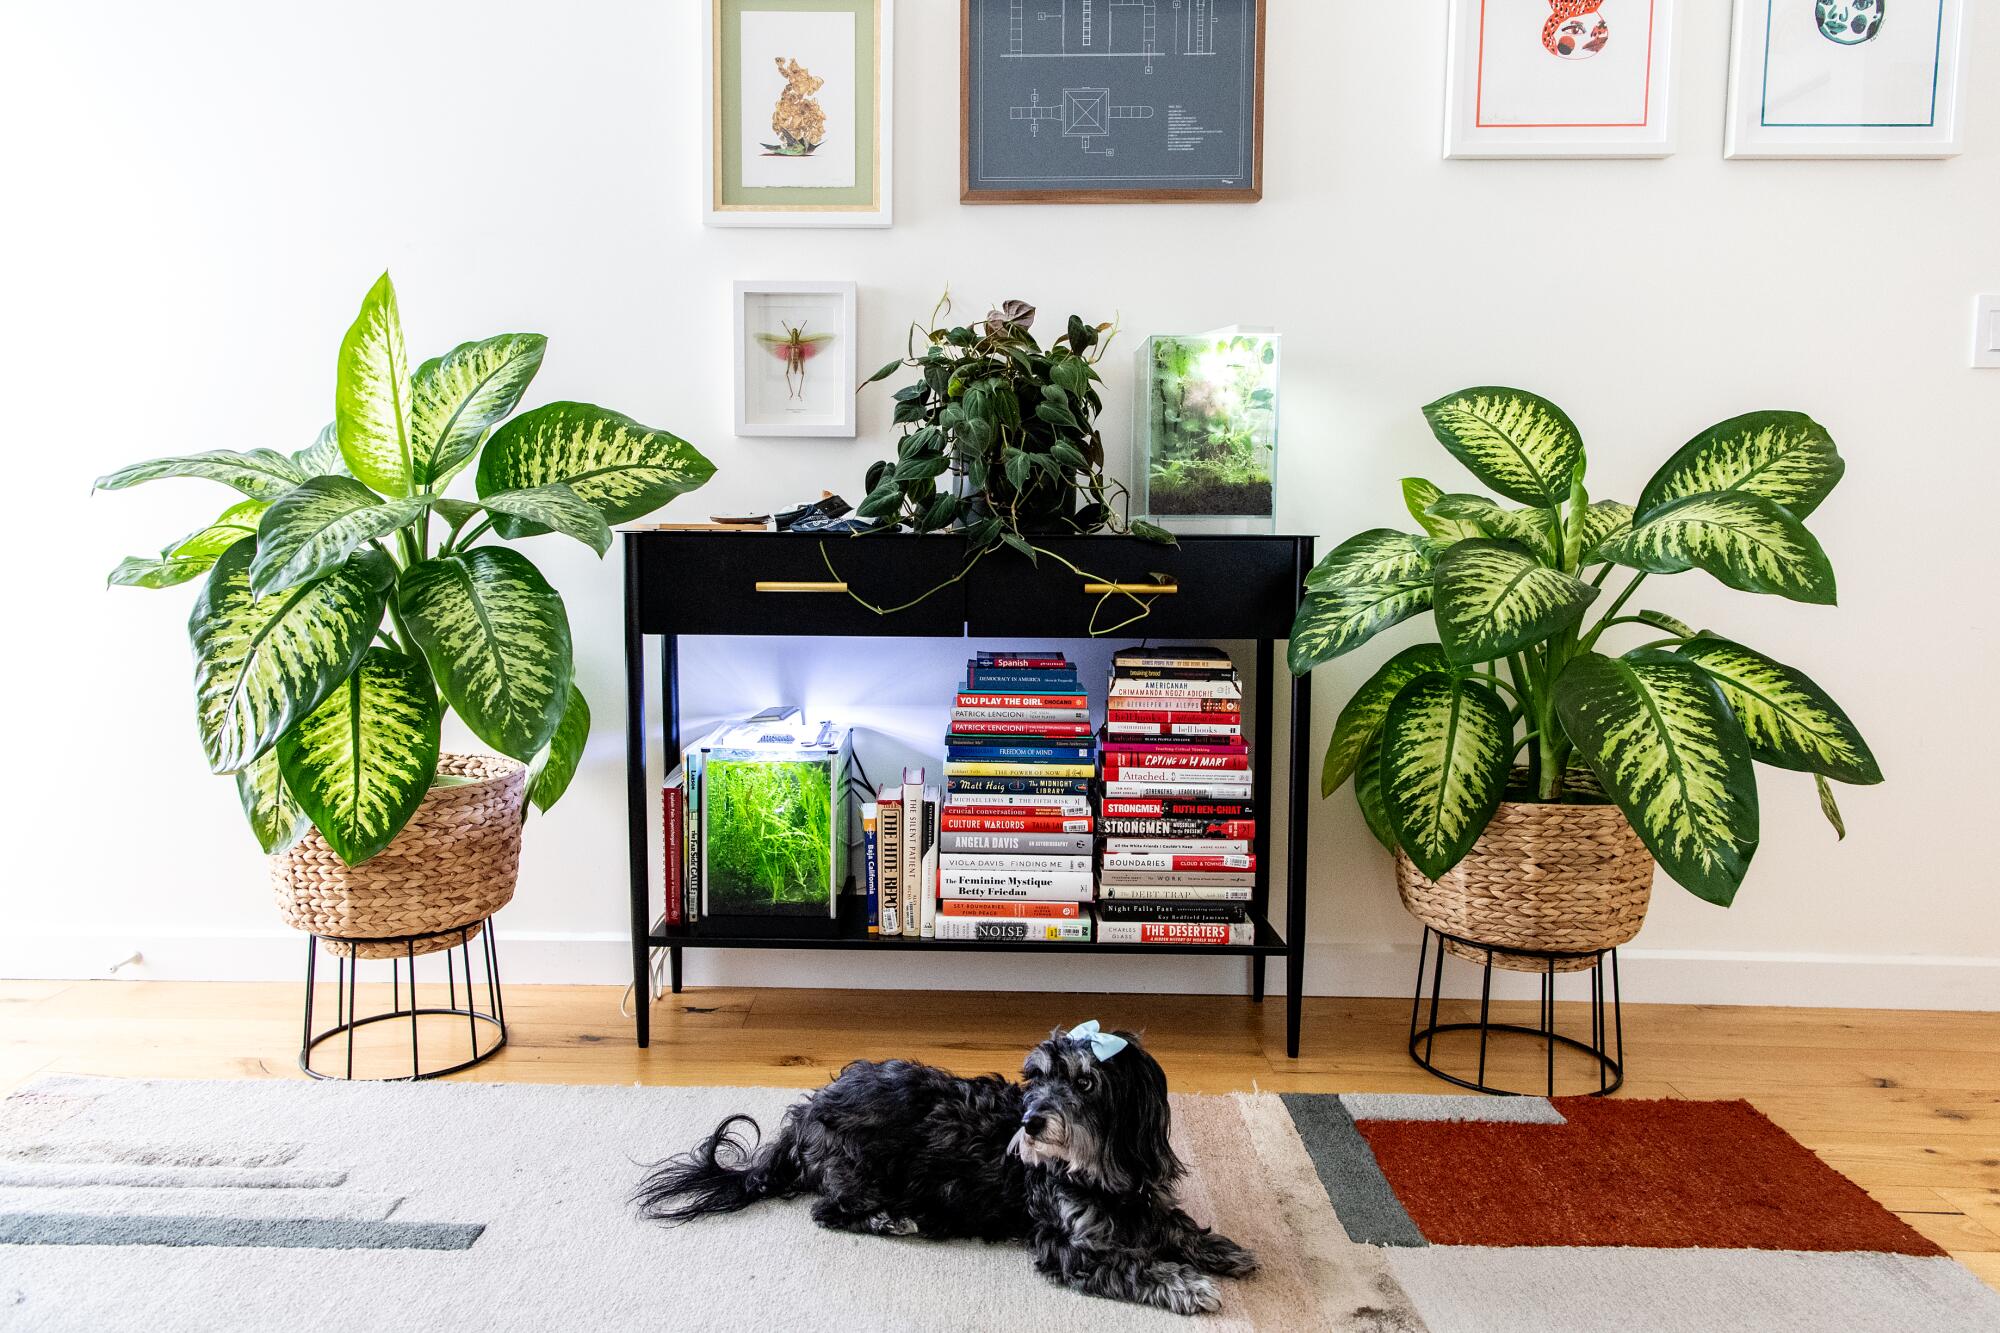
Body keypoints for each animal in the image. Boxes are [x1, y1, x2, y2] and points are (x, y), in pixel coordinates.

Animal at [632, 1016, 1256, 1304]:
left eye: (1084, 1081)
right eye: (1037, 1078)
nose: (1030, 1123)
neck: (1101, 1174)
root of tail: (808, 1112)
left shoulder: (1143, 1201)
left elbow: (1175, 1224)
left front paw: (1221, 1250)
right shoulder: (1068, 1249)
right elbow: (1133, 1266)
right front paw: (1188, 1285)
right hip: (862, 1169)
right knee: (829, 1210)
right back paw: (893, 1218)